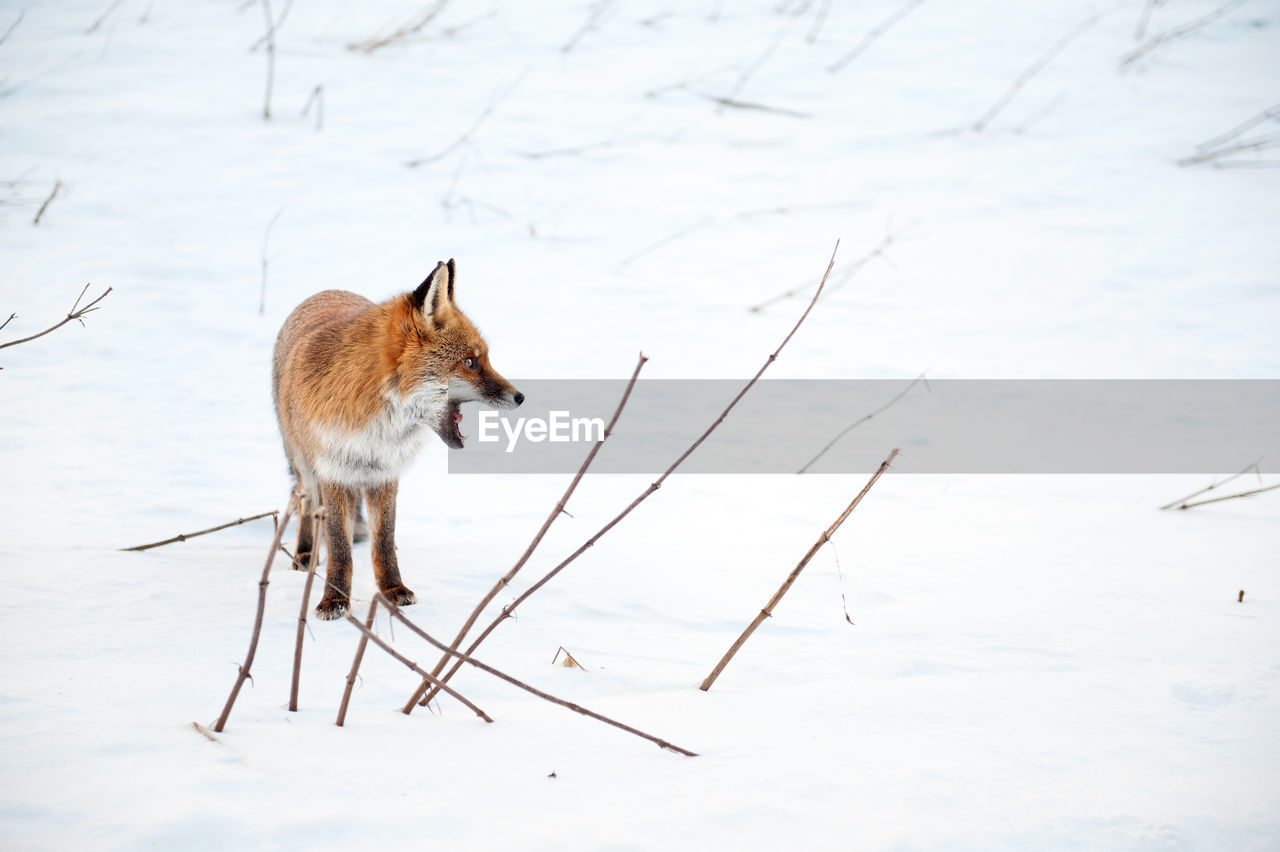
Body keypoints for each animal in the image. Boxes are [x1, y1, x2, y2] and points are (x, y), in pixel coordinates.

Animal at [272, 257, 522, 616]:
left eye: (483, 359)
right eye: (469, 362)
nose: (520, 397)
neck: (374, 425)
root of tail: (327, 291)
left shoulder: (385, 474)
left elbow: (384, 542)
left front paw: (393, 590)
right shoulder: (333, 472)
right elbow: (338, 545)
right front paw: (334, 601)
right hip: (303, 464)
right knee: (306, 503)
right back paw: (306, 554)